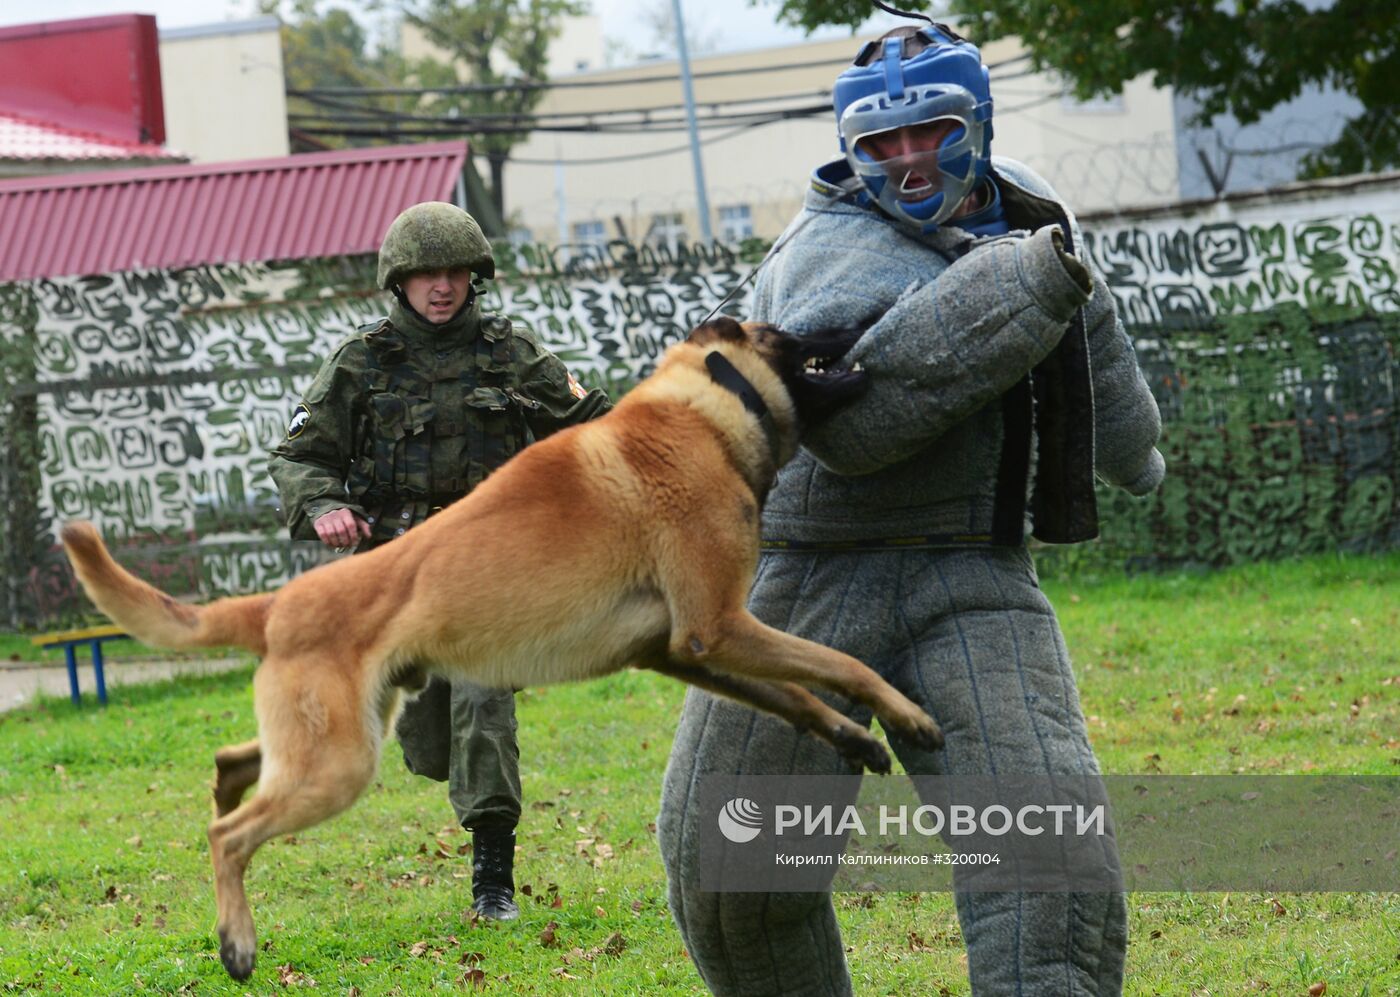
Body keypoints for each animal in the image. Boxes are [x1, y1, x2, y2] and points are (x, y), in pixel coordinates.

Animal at [63, 319, 940, 980]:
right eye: (791, 334)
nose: (851, 323)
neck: (704, 411)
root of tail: (281, 602)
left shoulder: (684, 650)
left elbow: (798, 691)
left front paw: (857, 736)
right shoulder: (718, 626)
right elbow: (843, 663)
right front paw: (907, 717)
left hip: (344, 733)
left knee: (234, 763)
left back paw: (225, 785)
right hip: (340, 764)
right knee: (230, 835)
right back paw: (236, 941)